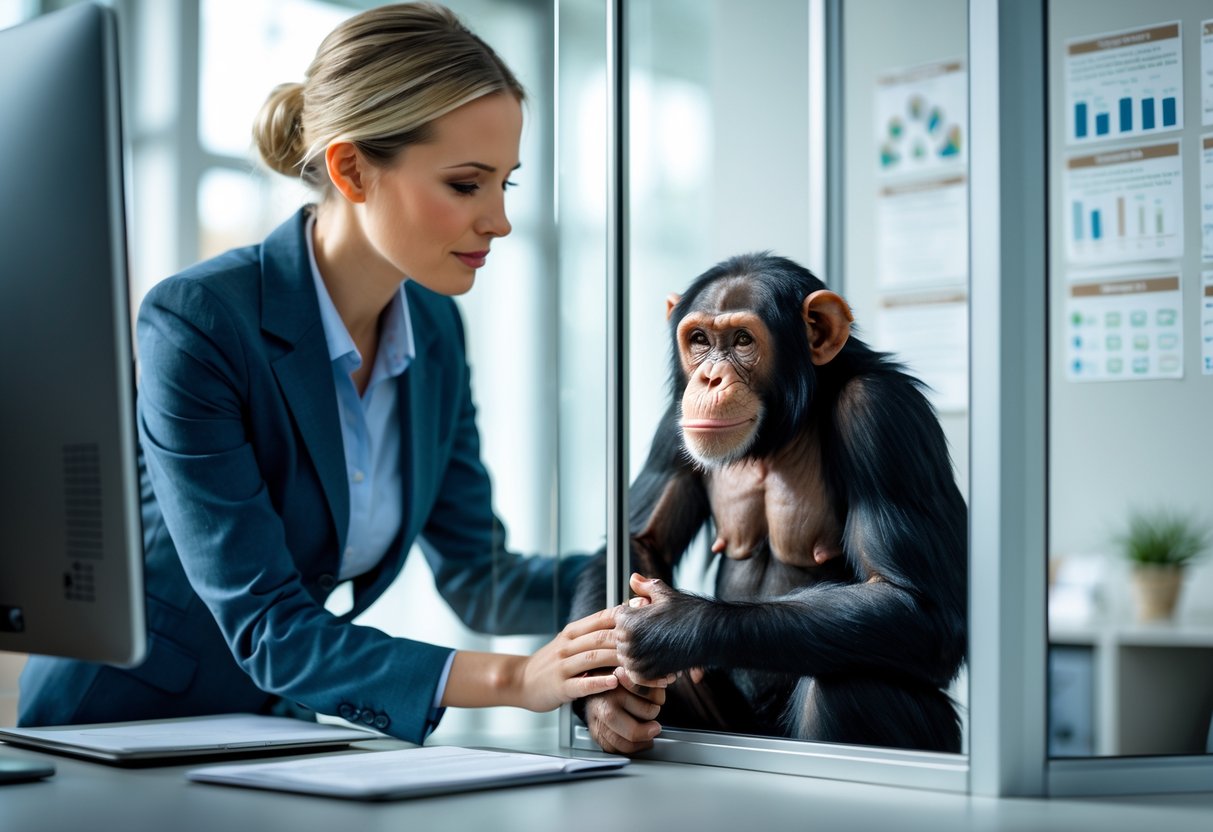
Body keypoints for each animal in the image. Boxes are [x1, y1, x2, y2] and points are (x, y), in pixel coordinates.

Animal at [571, 252, 967, 754]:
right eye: (699, 340)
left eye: (742, 340)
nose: (709, 377)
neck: (780, 430)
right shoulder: (670, 428)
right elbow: (641, 538)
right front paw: (607, 702)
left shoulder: (882, 415)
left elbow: (916, 604)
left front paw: (672, 625)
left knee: (844, 685)